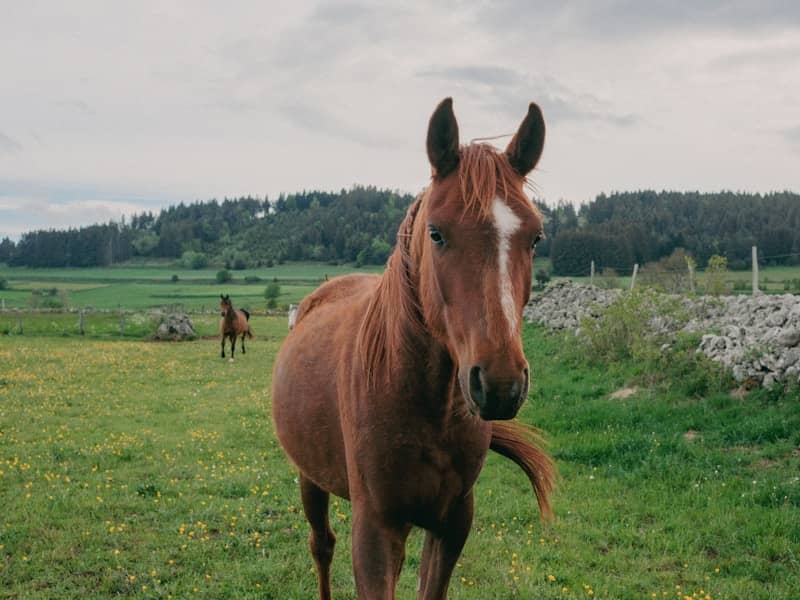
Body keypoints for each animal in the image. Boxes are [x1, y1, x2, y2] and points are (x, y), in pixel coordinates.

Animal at [272, 98, 556, 599]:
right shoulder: (375, 532)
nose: (500, 385)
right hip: (310, 477)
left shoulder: (452, 522)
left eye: (535, 237)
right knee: (321, 545)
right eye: (437, 233)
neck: (426, 407)